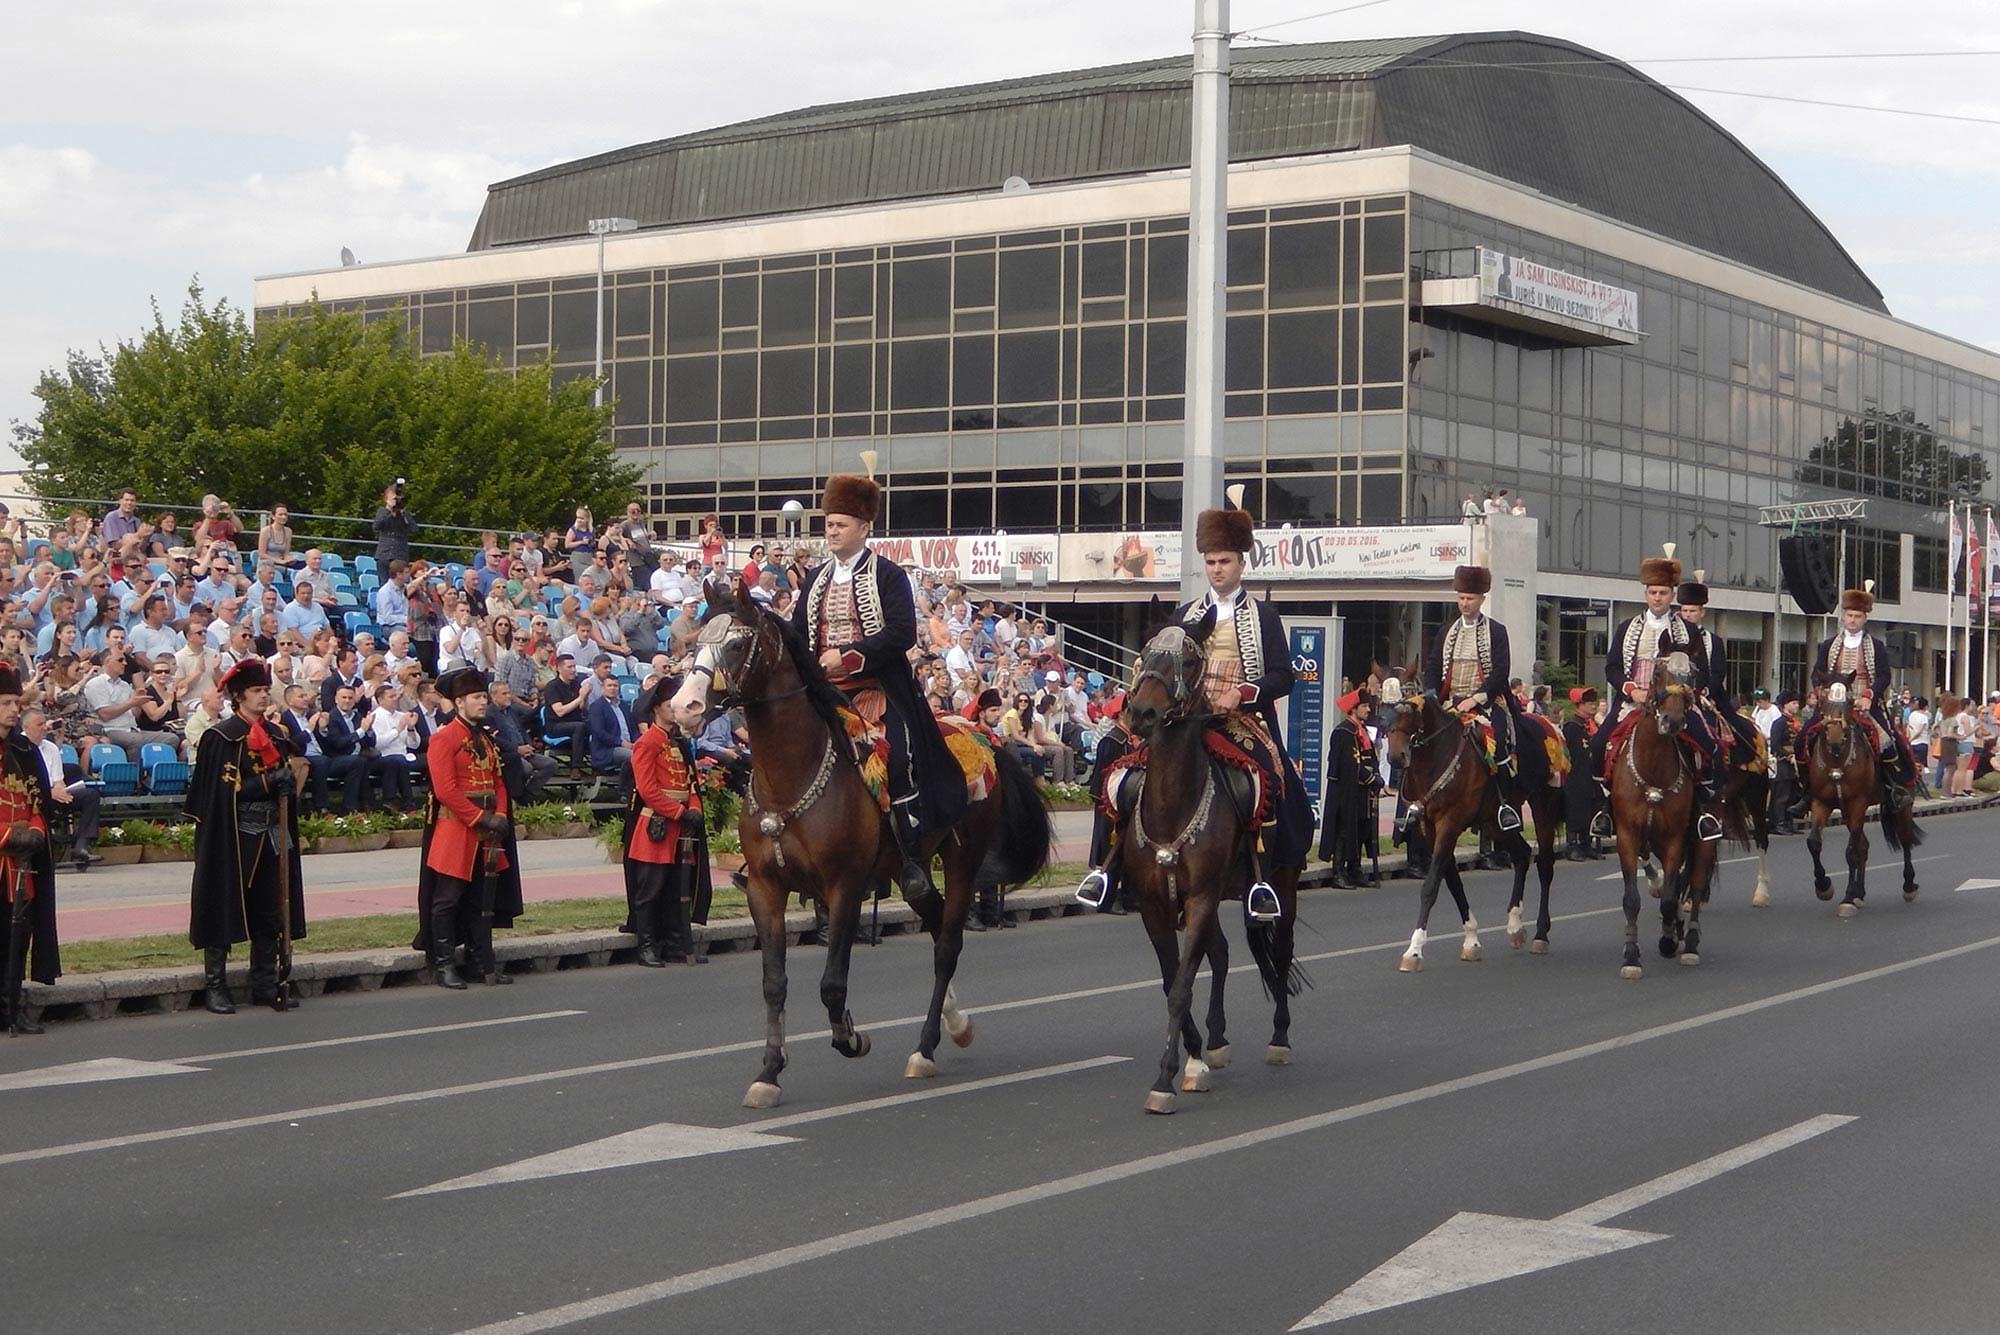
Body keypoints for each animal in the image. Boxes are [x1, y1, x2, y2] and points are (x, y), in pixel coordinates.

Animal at [676, 583, 1056, 1103]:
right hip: (910, 870)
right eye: (695, 643)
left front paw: (851, 1038)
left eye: (735, 644)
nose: (684, 708)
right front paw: (769, 1073)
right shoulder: (765, 890)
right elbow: (774, 982)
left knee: (947, 945)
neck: (792, 777)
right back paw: (956, 1023)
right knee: (934, 920)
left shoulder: (845, 888)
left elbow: (832, 983)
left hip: (961, 860)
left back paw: (927, 1047)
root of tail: (983, 735)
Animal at [1120, 615, 1304, 1119]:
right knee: (1219, 953)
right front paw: (1194, 1057)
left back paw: (1280, 1039)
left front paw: (1165, 1080)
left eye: (1187, 660)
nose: (1142, 713)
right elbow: (1172, 980)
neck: (1174, 804)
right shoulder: (1155, 905)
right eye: (1146, 652)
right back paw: (1216, 1043)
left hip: (1281, 882)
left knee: (1280, 952)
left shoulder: (1201, 896)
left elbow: (1183, 983)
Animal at [1384, 667, 1568, 971]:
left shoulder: (1449, 823)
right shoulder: (1430, 828)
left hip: (1544, 805)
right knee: (1522, 854)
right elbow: (1452, 882)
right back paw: (1515, 925)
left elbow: (1431, 885)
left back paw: (1541, 934)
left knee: (1545, 864)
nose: (1396, 757)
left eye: (1409, 708)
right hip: (1494, 821)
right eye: (1381, 708)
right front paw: (1471, 941)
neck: (1436, 756)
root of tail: (1551, 724)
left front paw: (1414, 949)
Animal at [1800, 679, 1920, 919]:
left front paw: (1847, 897)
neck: (1837, 760)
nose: (1835, 738)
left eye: (1848, 702)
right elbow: (1814, 842)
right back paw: (1860, 893)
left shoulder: (1857, 803)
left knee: (1904, 839)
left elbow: (1851, 851)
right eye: (1823, 701)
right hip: (1846, 811)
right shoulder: (1822, 803)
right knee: (1864, 845)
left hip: (1902, 804)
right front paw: (1824, 886)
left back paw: (1908, 885)